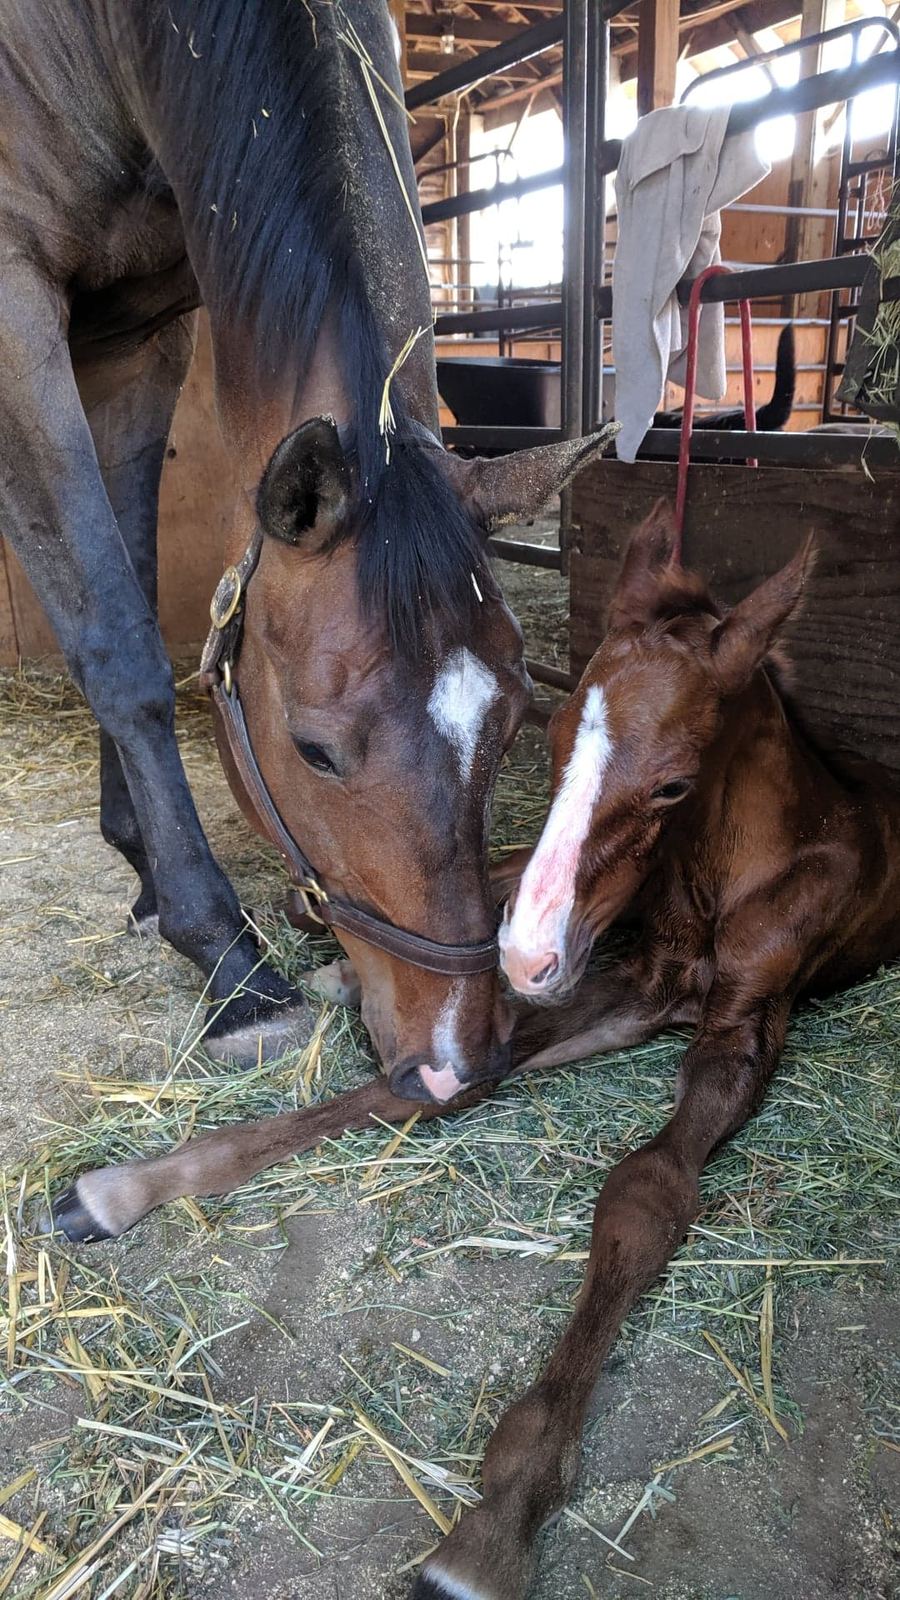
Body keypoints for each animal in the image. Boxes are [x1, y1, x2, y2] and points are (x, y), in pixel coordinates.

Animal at [0, 0, 608, 1168]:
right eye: (315, 749)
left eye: (515, 722)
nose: (454, 1062)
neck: (112, 40)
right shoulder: (13, 310)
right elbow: (117, 640)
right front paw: (228, 963)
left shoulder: (138, 334)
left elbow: (124, 581)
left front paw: (145, 871)